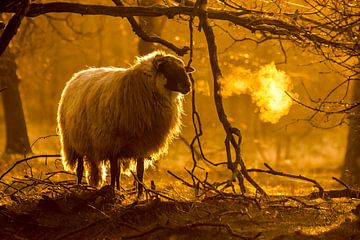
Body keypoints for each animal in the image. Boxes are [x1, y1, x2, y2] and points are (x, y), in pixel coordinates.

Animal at [57, 51, 194, 195]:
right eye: (168, 68)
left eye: (184, 69)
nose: (187, 86)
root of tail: (79, 74)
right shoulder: (111, 142)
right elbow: (113, 170)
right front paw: (112, 193)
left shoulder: (141, 143)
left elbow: (139, 171)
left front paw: (140, 194)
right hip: (76, 141)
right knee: (80, 169)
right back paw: (78, 188)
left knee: (117, 172)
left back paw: (117, 189)